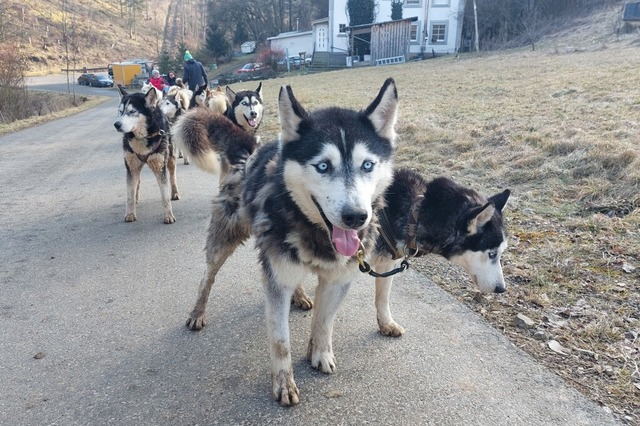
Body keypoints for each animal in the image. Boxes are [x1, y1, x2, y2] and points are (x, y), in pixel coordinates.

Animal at [114, 83, 179, 223]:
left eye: (132, 111)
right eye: (120, 111)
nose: (116, 124)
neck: (142, 137)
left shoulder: (160, 166)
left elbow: (165, 196)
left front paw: (168, 215)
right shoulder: (131, 166)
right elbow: (130, 195)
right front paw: (130, 213)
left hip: (170, 159)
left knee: (172, 175)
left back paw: (175, 192)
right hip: (135, 165)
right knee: (137, 181)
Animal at [182, 78, 398, 404]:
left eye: (368, 165)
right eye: (323, 166)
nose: (356, 217)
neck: (315, 232)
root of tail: (250, 154)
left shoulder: (337, 279)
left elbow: (324, 322)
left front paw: (319, 353)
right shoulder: (276, 284)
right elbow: (280, 341)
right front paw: (284, 382)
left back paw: (299, 295)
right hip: (225, 239)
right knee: (207, 275)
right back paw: (198, 311)